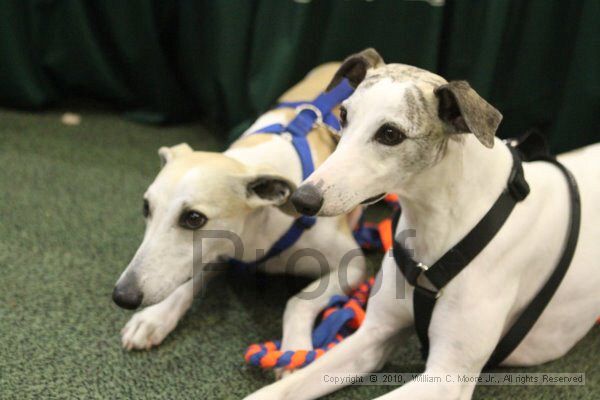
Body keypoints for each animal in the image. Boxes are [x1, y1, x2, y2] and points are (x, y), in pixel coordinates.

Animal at [112, 62, 366, 354]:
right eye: (146, 207)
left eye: (194, 218)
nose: (122, 296)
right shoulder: (218, 250)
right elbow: (188, 280)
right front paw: (153, 318)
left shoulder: (353, 264)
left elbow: (298, 302)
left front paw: (296, 351)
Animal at [245, 49, 600, 400]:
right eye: (343, 115)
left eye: (390, 134)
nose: (302, 198)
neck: (440, 225)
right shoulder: (373, 336)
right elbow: (279, 391)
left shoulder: (446, 377)